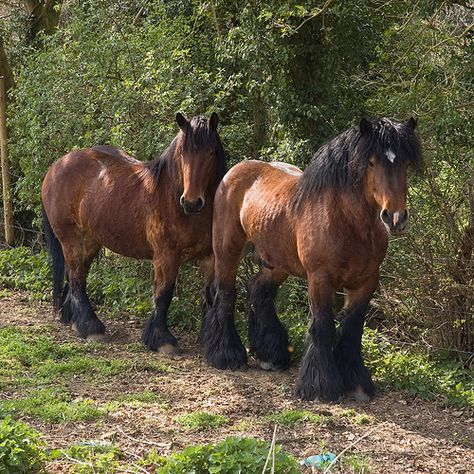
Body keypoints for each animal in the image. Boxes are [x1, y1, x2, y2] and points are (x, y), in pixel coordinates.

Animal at [41, 113, 225, 354]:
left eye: (211, 152)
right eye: (183, 152)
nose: (192, 202)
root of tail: (56, 166)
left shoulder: (210, 257)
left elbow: (210, 296)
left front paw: (209, 340)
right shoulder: (166, 256)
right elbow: (164, 294)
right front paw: (162, 340)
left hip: (90, 241)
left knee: (77, 277)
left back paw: (74, 319)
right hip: (72, 239)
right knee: (76, 278)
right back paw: (91, 327)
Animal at [200, 116, 422, 402]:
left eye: (405, 163)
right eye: (371, 162)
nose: (394, 218)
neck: (344, 220)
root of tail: (233, 174)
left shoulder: (366, 282)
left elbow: (352, 329)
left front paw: (357, 383)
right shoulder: (320, 279)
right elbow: (323, 325)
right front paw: (320, 386)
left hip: (276, 263)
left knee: (259, 291)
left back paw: (271, 355)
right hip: (227, 251)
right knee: (225, 294)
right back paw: (226, 354)